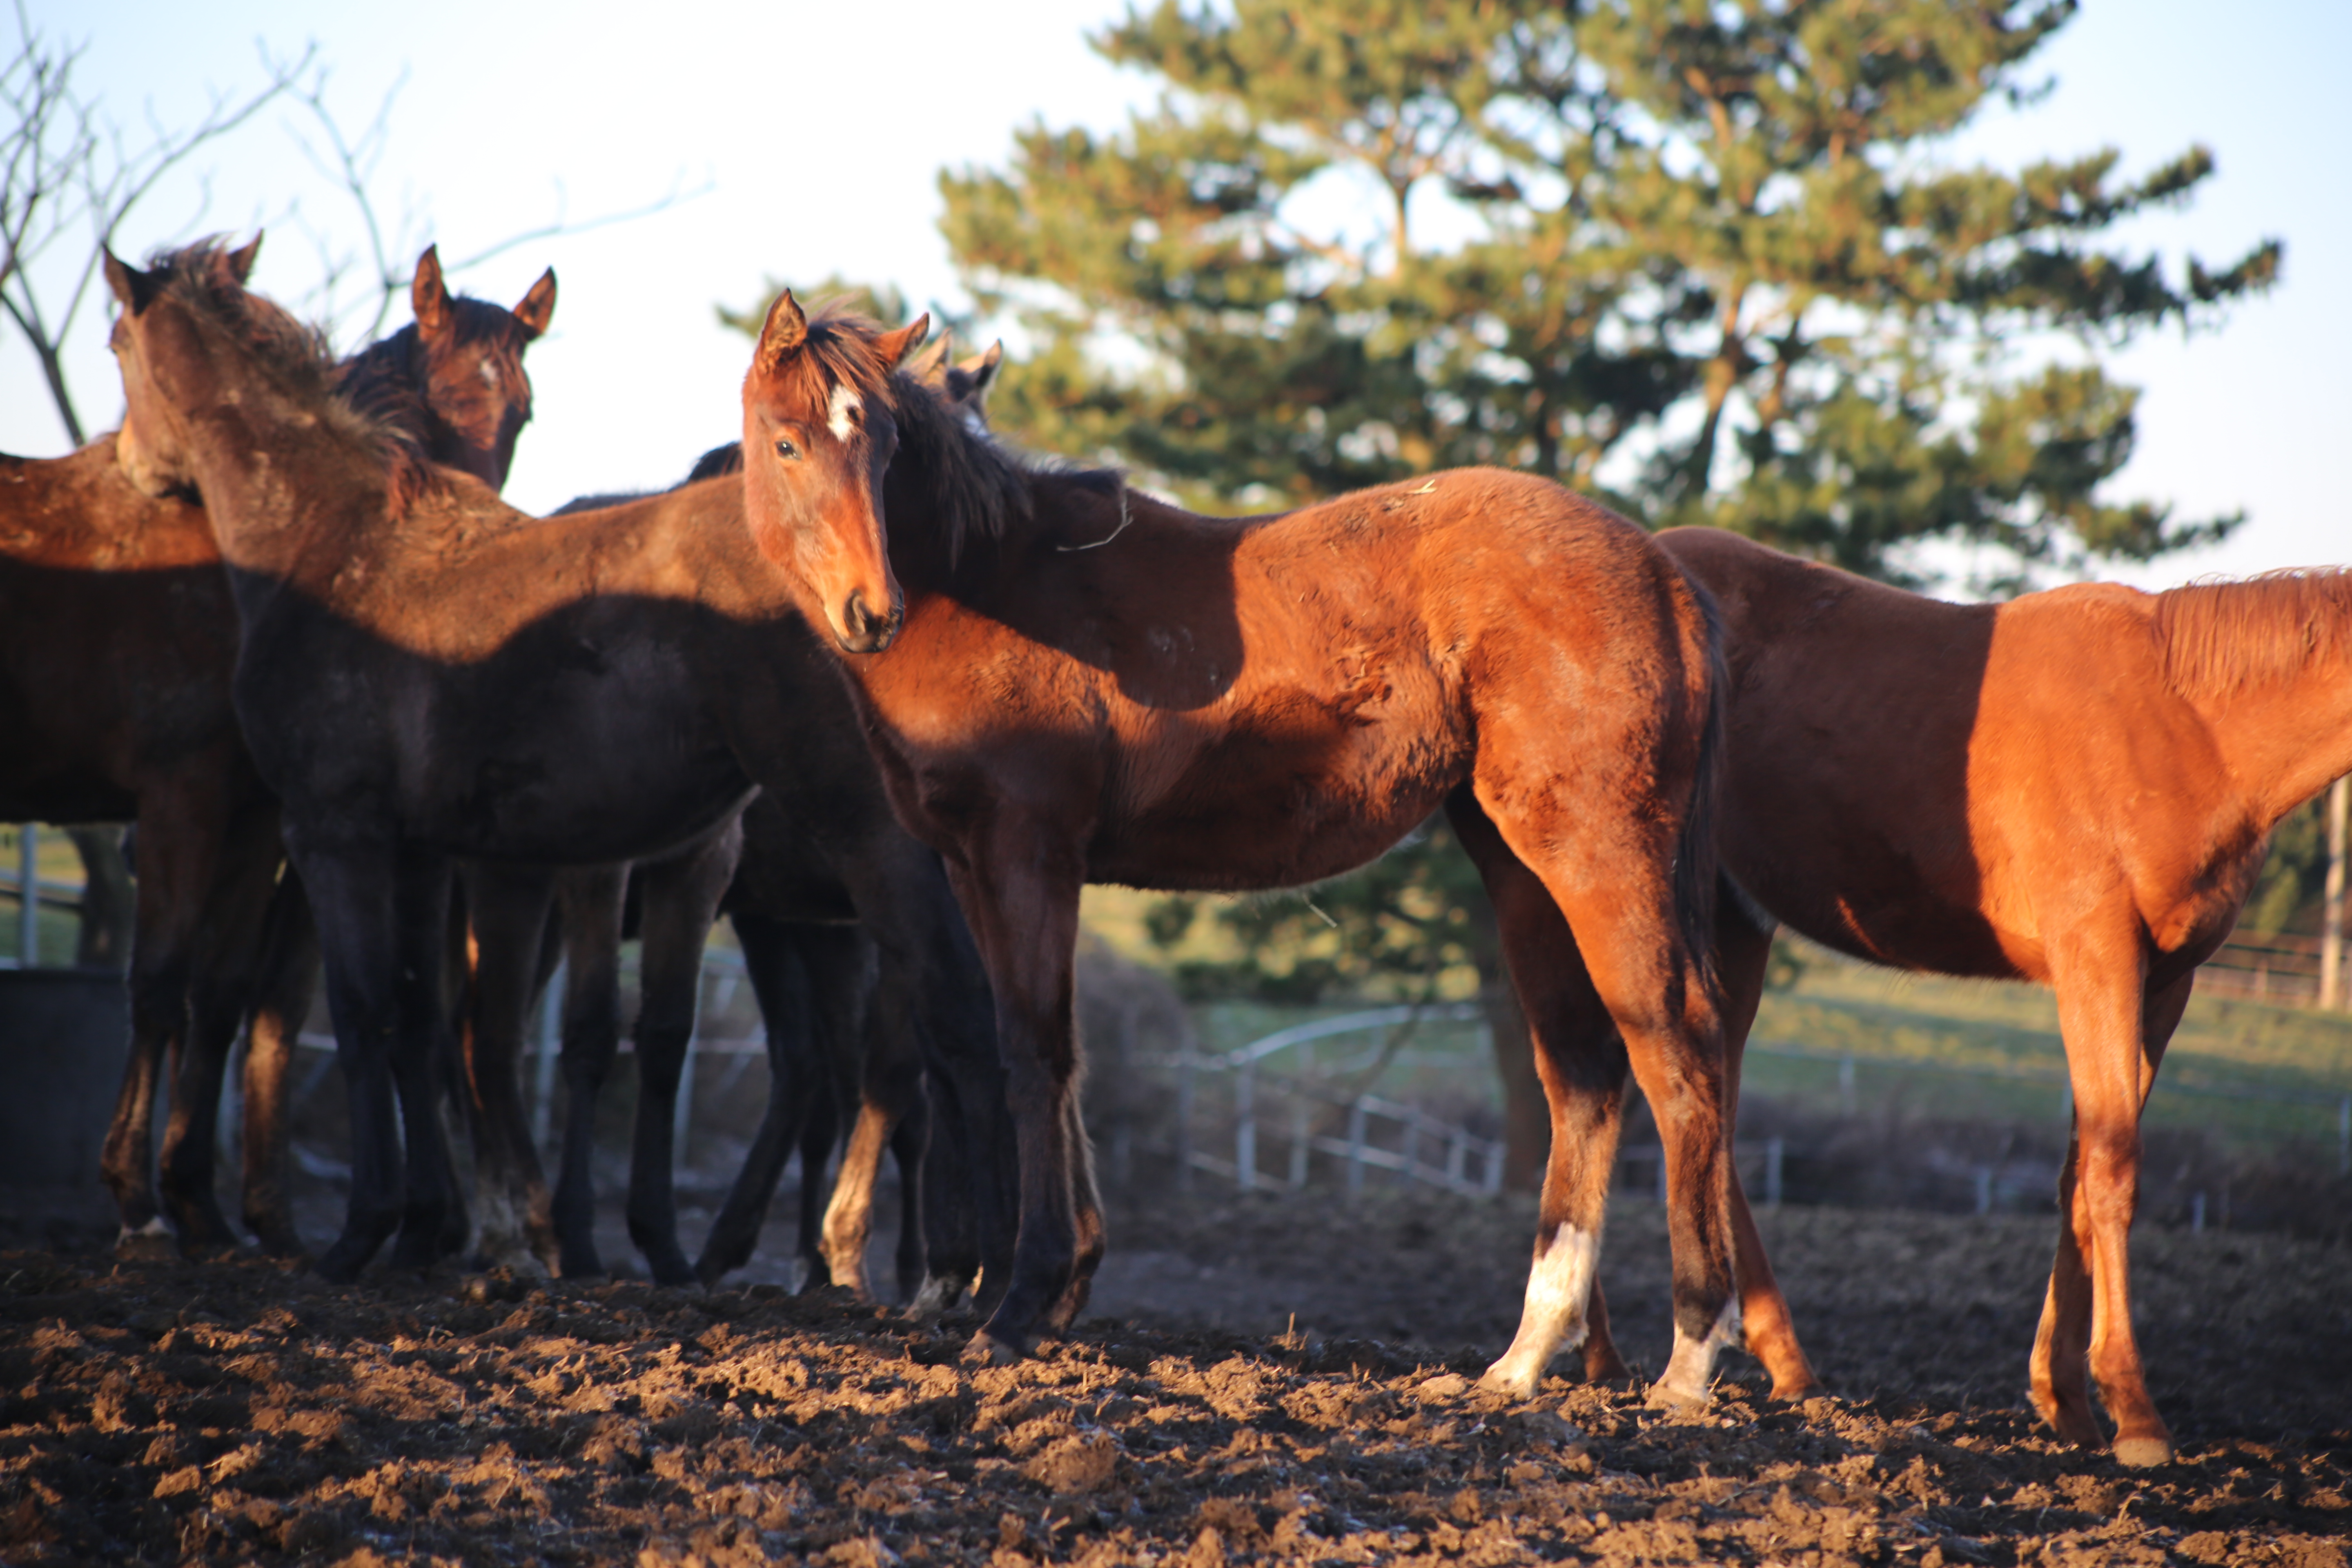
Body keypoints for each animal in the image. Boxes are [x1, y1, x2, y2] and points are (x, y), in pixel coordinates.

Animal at [0, 240, 552, 1260]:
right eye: (441, 399)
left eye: (522, 410)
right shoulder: (190, 798)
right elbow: (169, 983)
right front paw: (143, 1200)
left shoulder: (266, 818)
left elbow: (248, 1000)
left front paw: (230, 1209)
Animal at [101, 236, 1011, 1288]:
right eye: (791, 444)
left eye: (116, 342)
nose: (131, 467)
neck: (335, 539)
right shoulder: (434, 854)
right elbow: (429, 1022)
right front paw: (444, 1224)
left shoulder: (337, 831)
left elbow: (371, 1012)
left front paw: (372, 1229)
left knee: (931, 1035)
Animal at [734, 294, 1750, 1401]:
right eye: (788, 442)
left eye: (881, 448)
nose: (870, 612)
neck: (991, 584)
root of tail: (1661, 574)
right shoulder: (970, 865)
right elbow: (1036, 1048)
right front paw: (1043, 1291)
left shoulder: (1026, 854)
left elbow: (1034, 1053)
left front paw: (1017, 1305)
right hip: (1519, 865)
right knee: (1582, 1071)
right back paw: (1521, 1358)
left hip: (1597, 857)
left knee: (1675, 1052)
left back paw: (1689, 1356)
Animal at [1571, 531, 2342, 1476]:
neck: (2186, 721)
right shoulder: (2098, 958)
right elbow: (2113, 1168)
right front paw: (2136, 1412)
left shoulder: (2165, 982)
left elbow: (2077, 1173)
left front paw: (2066, 1398)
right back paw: (1606, 1353)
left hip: (1732, 918)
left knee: (1696, 1097)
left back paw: (1777, 1360)